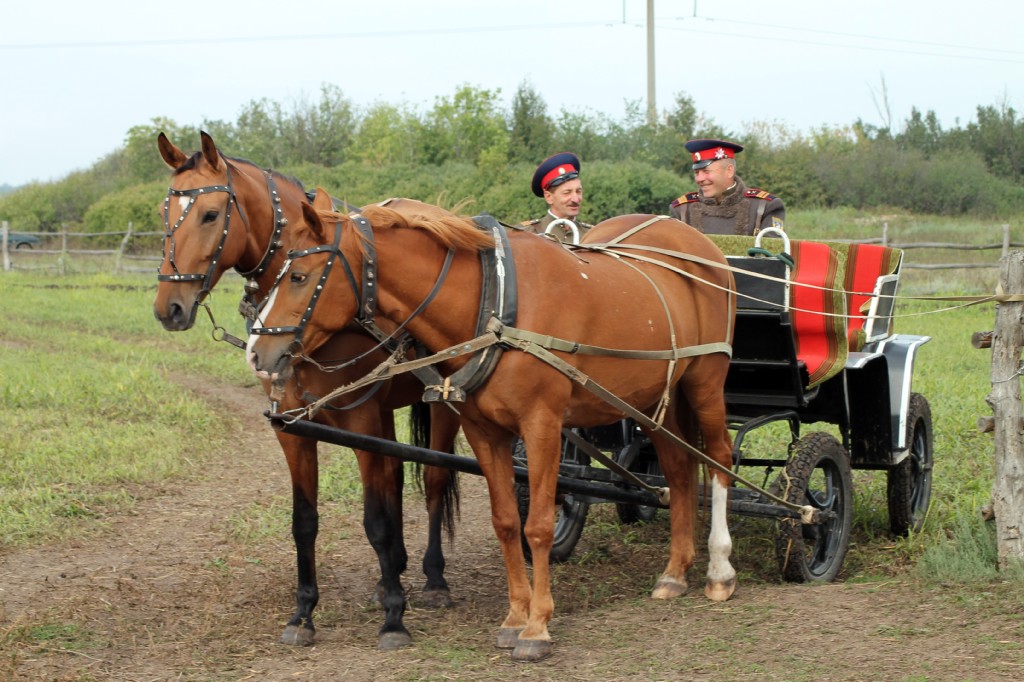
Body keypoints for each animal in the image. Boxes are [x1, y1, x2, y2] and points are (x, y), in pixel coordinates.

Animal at [149, 133, 462, 647]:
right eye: (164, 211)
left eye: (211, 214)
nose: (168, 307)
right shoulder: (292, 427)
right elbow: (305, 522)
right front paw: (304, 613)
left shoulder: (359, 419)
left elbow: (375, 519)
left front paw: (394, 618)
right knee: (395, 476)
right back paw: (390, 575)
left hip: (440, 407)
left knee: (434, 480)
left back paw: (433, 578)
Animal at [247, 188, 745, 655]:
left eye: (299, 277)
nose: (256, 351)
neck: (495, 302)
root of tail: (702, 246)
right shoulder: (483, 431)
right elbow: (506, 521)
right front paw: (514, 618)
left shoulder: (542, 425)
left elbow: (538, 525)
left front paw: (538, 626)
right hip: (660, 397)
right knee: (678, 469)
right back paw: (675, 571)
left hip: (705, 381)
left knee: (719, 459)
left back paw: (719, 570)